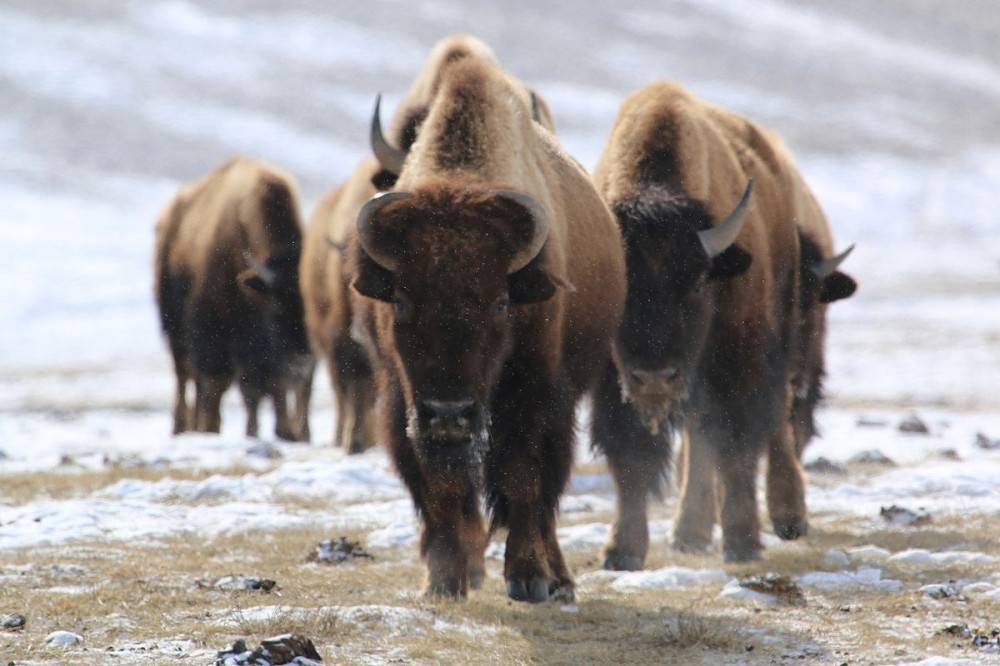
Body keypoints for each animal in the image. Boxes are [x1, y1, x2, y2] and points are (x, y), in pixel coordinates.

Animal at [154, 157, 312, 440]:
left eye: (311, 313)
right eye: (276, 312)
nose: (302, 362)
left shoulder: (260, 352)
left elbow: (266, 386)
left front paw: (281, 431)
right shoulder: (213, 333)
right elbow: (219, 384)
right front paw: (211, 428)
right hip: (174, 328)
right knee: (184, 375)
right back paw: (183, 426)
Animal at [348, 54, 620, 600]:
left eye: (499, 304)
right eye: (402, 301)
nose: (449, 413)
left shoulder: (534, 393)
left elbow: (521, 476)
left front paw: (529, 578)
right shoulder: (402, 398)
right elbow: (440, 486)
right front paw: (445, 579)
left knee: (546, 496)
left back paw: (558, 580)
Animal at [588, 80, 832, 564]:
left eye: (700, 282)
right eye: (622, 287)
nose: (655, 378)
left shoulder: (737, 361)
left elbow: (736, 447)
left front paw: (742, 544)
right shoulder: (613, 378)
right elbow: (631, 457)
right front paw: (621, 551)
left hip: (784, 340)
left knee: (774, 424)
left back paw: (786, 518)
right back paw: (691, 532)